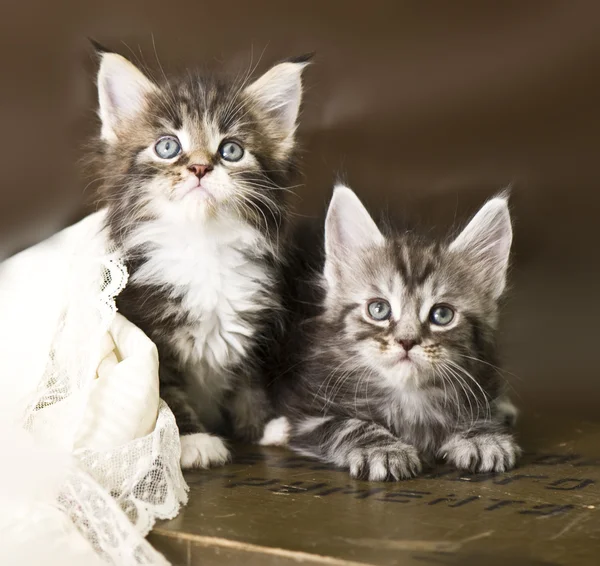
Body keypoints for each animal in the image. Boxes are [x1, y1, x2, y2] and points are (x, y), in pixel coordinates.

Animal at [91, 43, 312, 470]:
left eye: (231, 150)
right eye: (167, 147)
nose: (199, 167)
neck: (204, 247)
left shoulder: (254, 332)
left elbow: (248, 383)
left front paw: (264, 426)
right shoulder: (147, 331)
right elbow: (166, 391)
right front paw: (192, 441)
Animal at [268, 187, 520, 484]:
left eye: (442, 315)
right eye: (379, 309)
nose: (407, 341)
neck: (408, 395)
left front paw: (481, 435)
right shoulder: (307, 413)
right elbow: (348, 424)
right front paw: (382, 449)